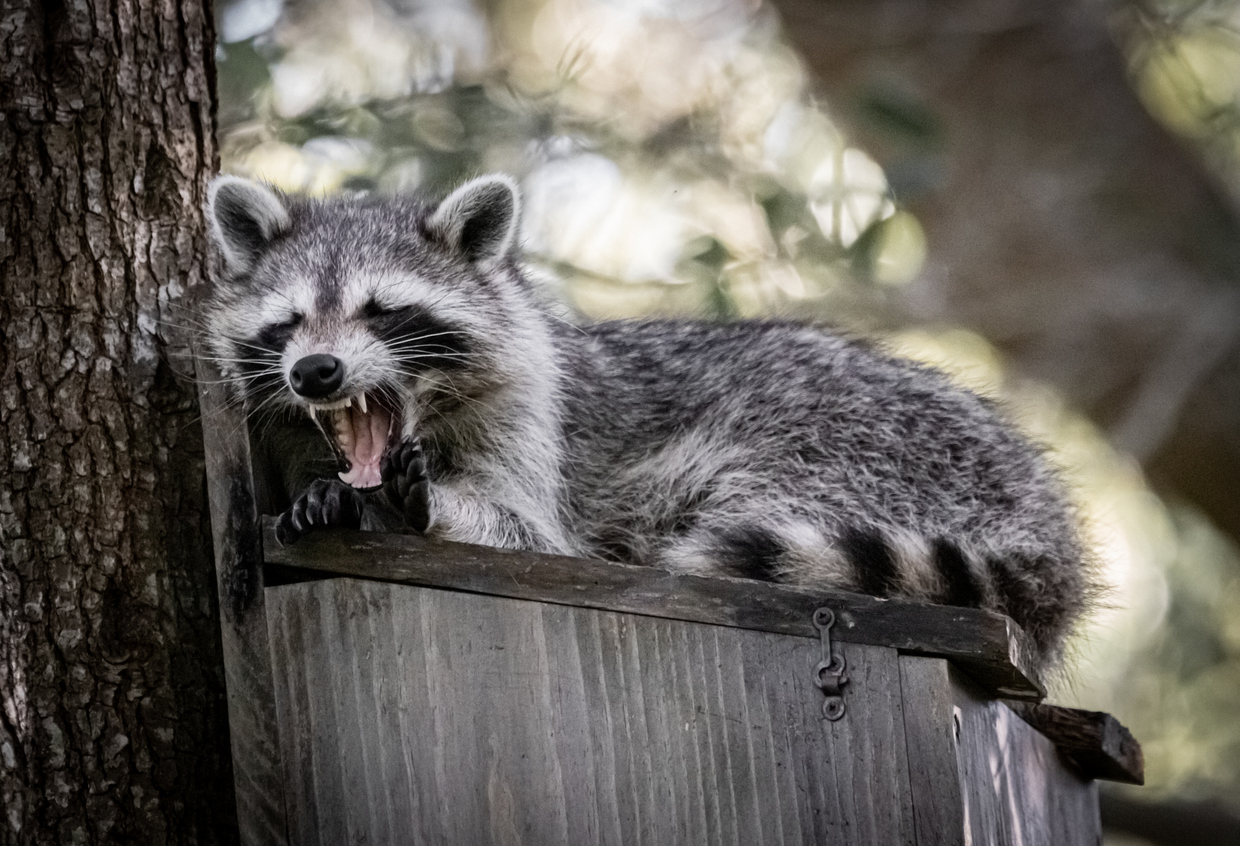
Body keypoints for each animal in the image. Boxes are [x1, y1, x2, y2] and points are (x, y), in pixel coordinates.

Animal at [205, 172, 1096, 669]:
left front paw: (423, 504)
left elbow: (531, 535)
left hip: (860, 445)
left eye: (383, 311)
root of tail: (1043, 522)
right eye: (290, 323)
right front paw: (330, 494)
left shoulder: (535, 424)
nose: (317, 372)